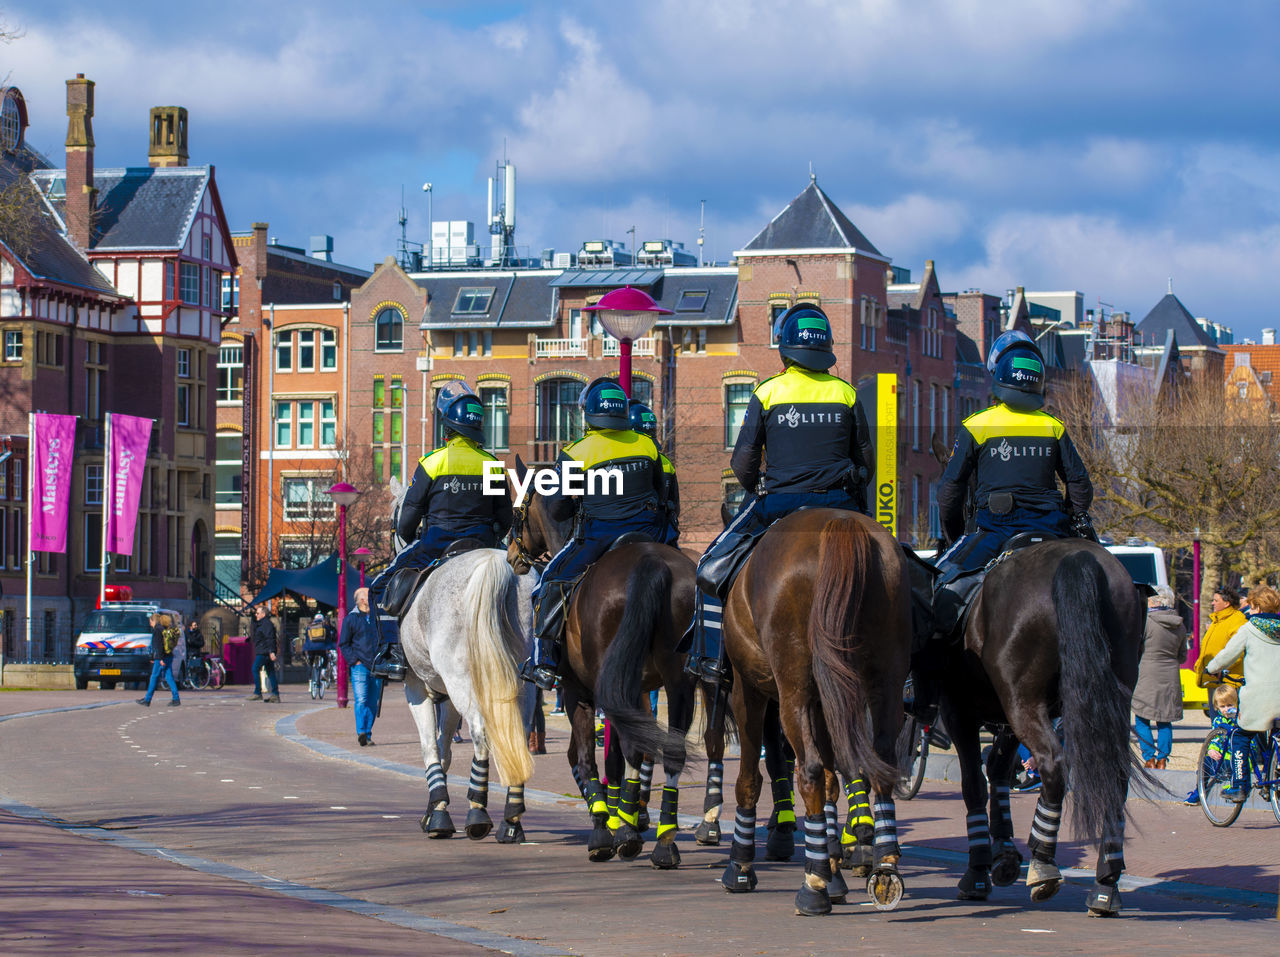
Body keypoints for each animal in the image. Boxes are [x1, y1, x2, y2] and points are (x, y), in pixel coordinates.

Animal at [504, 455, 696, 864]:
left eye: (517, 510)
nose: (512, 554)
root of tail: (650, 562)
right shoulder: (635, 690)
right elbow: (627, 756)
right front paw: (625, 819)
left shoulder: (578, 690)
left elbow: (586, 757)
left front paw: (605, 828)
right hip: (676, 681)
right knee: (669, 749)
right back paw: (664, 842)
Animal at [721, 504, 911, 916]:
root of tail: (840, 522)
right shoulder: (826, 702)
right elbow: (830, 781)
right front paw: (833, 869)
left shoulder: (747, 691)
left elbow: (749, 780)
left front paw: (741, 866)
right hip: (884, 679)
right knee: (882, 762)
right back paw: (885, 866)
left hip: (791, 688)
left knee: (805, 768)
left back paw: (813, 888)